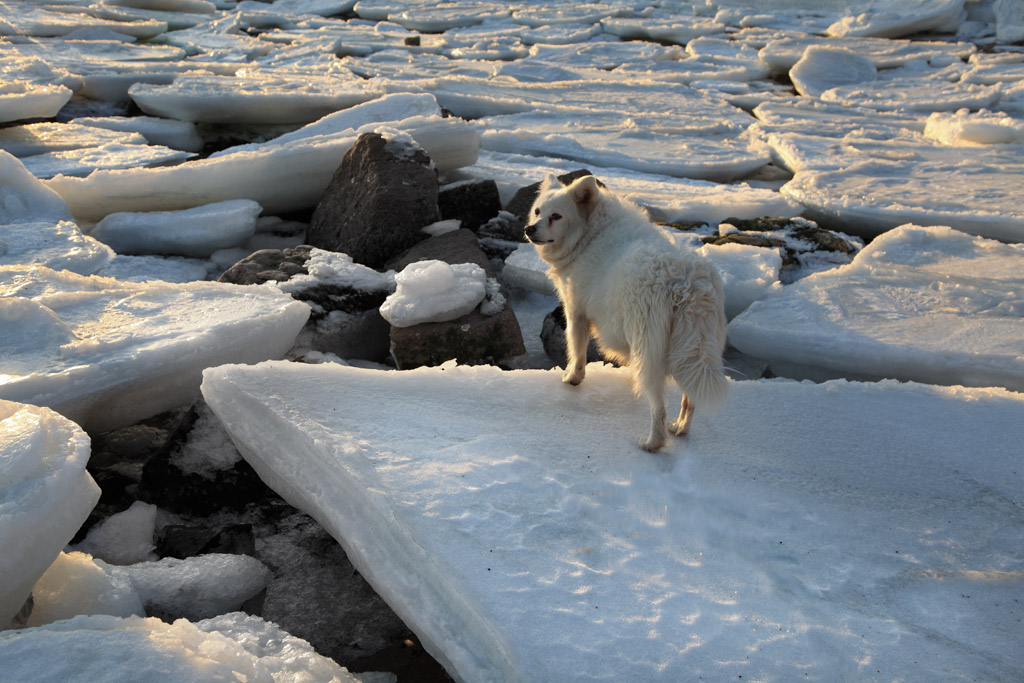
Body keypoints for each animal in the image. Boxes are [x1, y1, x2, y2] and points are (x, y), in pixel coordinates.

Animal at [528, 174, 729, 450]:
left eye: (556, 216)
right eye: (538, 211)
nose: (529, 229)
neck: (589, 233)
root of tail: (686, 283)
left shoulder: (576, 311)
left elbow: (576, 351)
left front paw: (572, 379)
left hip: (649, 347)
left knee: (658, 407)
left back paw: (652, 443)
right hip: (694, 351)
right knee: (690, 399)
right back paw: (680, 428)